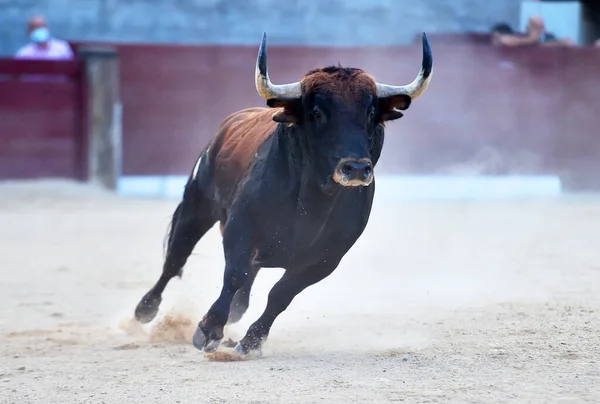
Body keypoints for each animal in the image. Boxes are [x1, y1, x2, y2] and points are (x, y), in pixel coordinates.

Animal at [134, 31, 434, 356]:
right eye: (316, 113)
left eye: (371, 113)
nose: (355, 168)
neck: (313, 201)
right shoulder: (241, 227)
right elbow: (234, 273)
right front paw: (208, 330)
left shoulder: (328, 257)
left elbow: (281, 293)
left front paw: (251, 341)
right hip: (197, 206)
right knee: (176, 258)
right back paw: (144, 310)